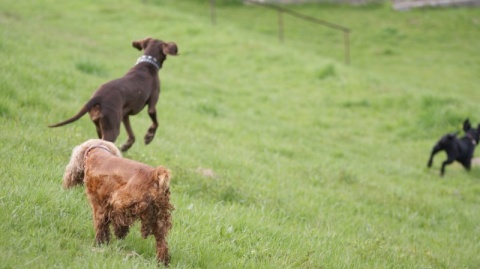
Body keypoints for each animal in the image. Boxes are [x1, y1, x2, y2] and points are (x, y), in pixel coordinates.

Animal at [48, 37, 178, 151]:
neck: (147, 64)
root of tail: (98, 97)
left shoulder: (125, 115)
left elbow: (132, 136)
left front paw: (126, 146)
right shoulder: (152, 105)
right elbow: (155, 123)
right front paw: (149, 137)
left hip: (100, 126)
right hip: (112, 129)